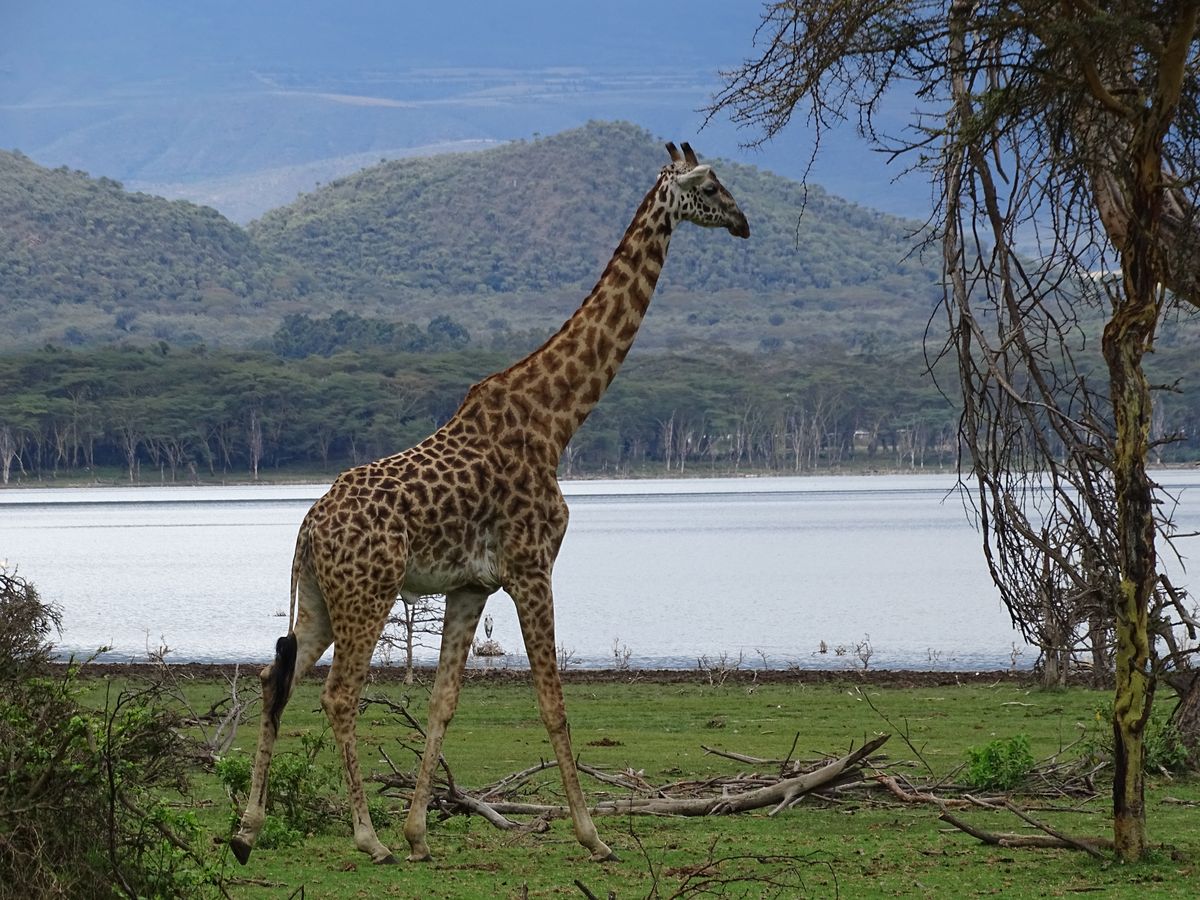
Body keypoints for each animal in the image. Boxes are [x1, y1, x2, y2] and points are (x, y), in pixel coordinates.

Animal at [230, 141, 749, 866]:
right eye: (710, 185)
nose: (743, 222)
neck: (558, 419)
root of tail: (306, 529)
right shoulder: (532, 566)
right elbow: (552, 701)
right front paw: (593, 836)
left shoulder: (471, 585)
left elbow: (444, 702)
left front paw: (420, 832)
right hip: (369, 592)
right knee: (337, 695)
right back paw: (366, 838)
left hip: (321, 600)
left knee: (272, 678)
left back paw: (248, 830)